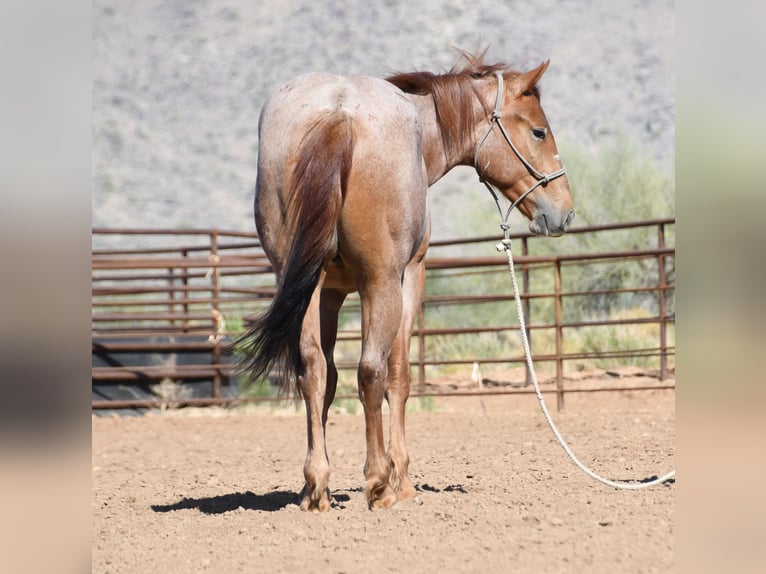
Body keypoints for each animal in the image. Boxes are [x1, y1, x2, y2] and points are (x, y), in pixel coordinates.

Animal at [238, 50, 575, 512]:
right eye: (539, 131)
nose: (564, 212)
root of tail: (338, 111)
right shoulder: (409, 277)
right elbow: (397, 375)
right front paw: (401, 479)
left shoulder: (328, 293)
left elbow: (326, 379)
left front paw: (314, 485)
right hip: (381, 282)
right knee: (371, 370)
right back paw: (379, 483)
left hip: (305, 282)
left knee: (313, 368)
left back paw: (318, 487)